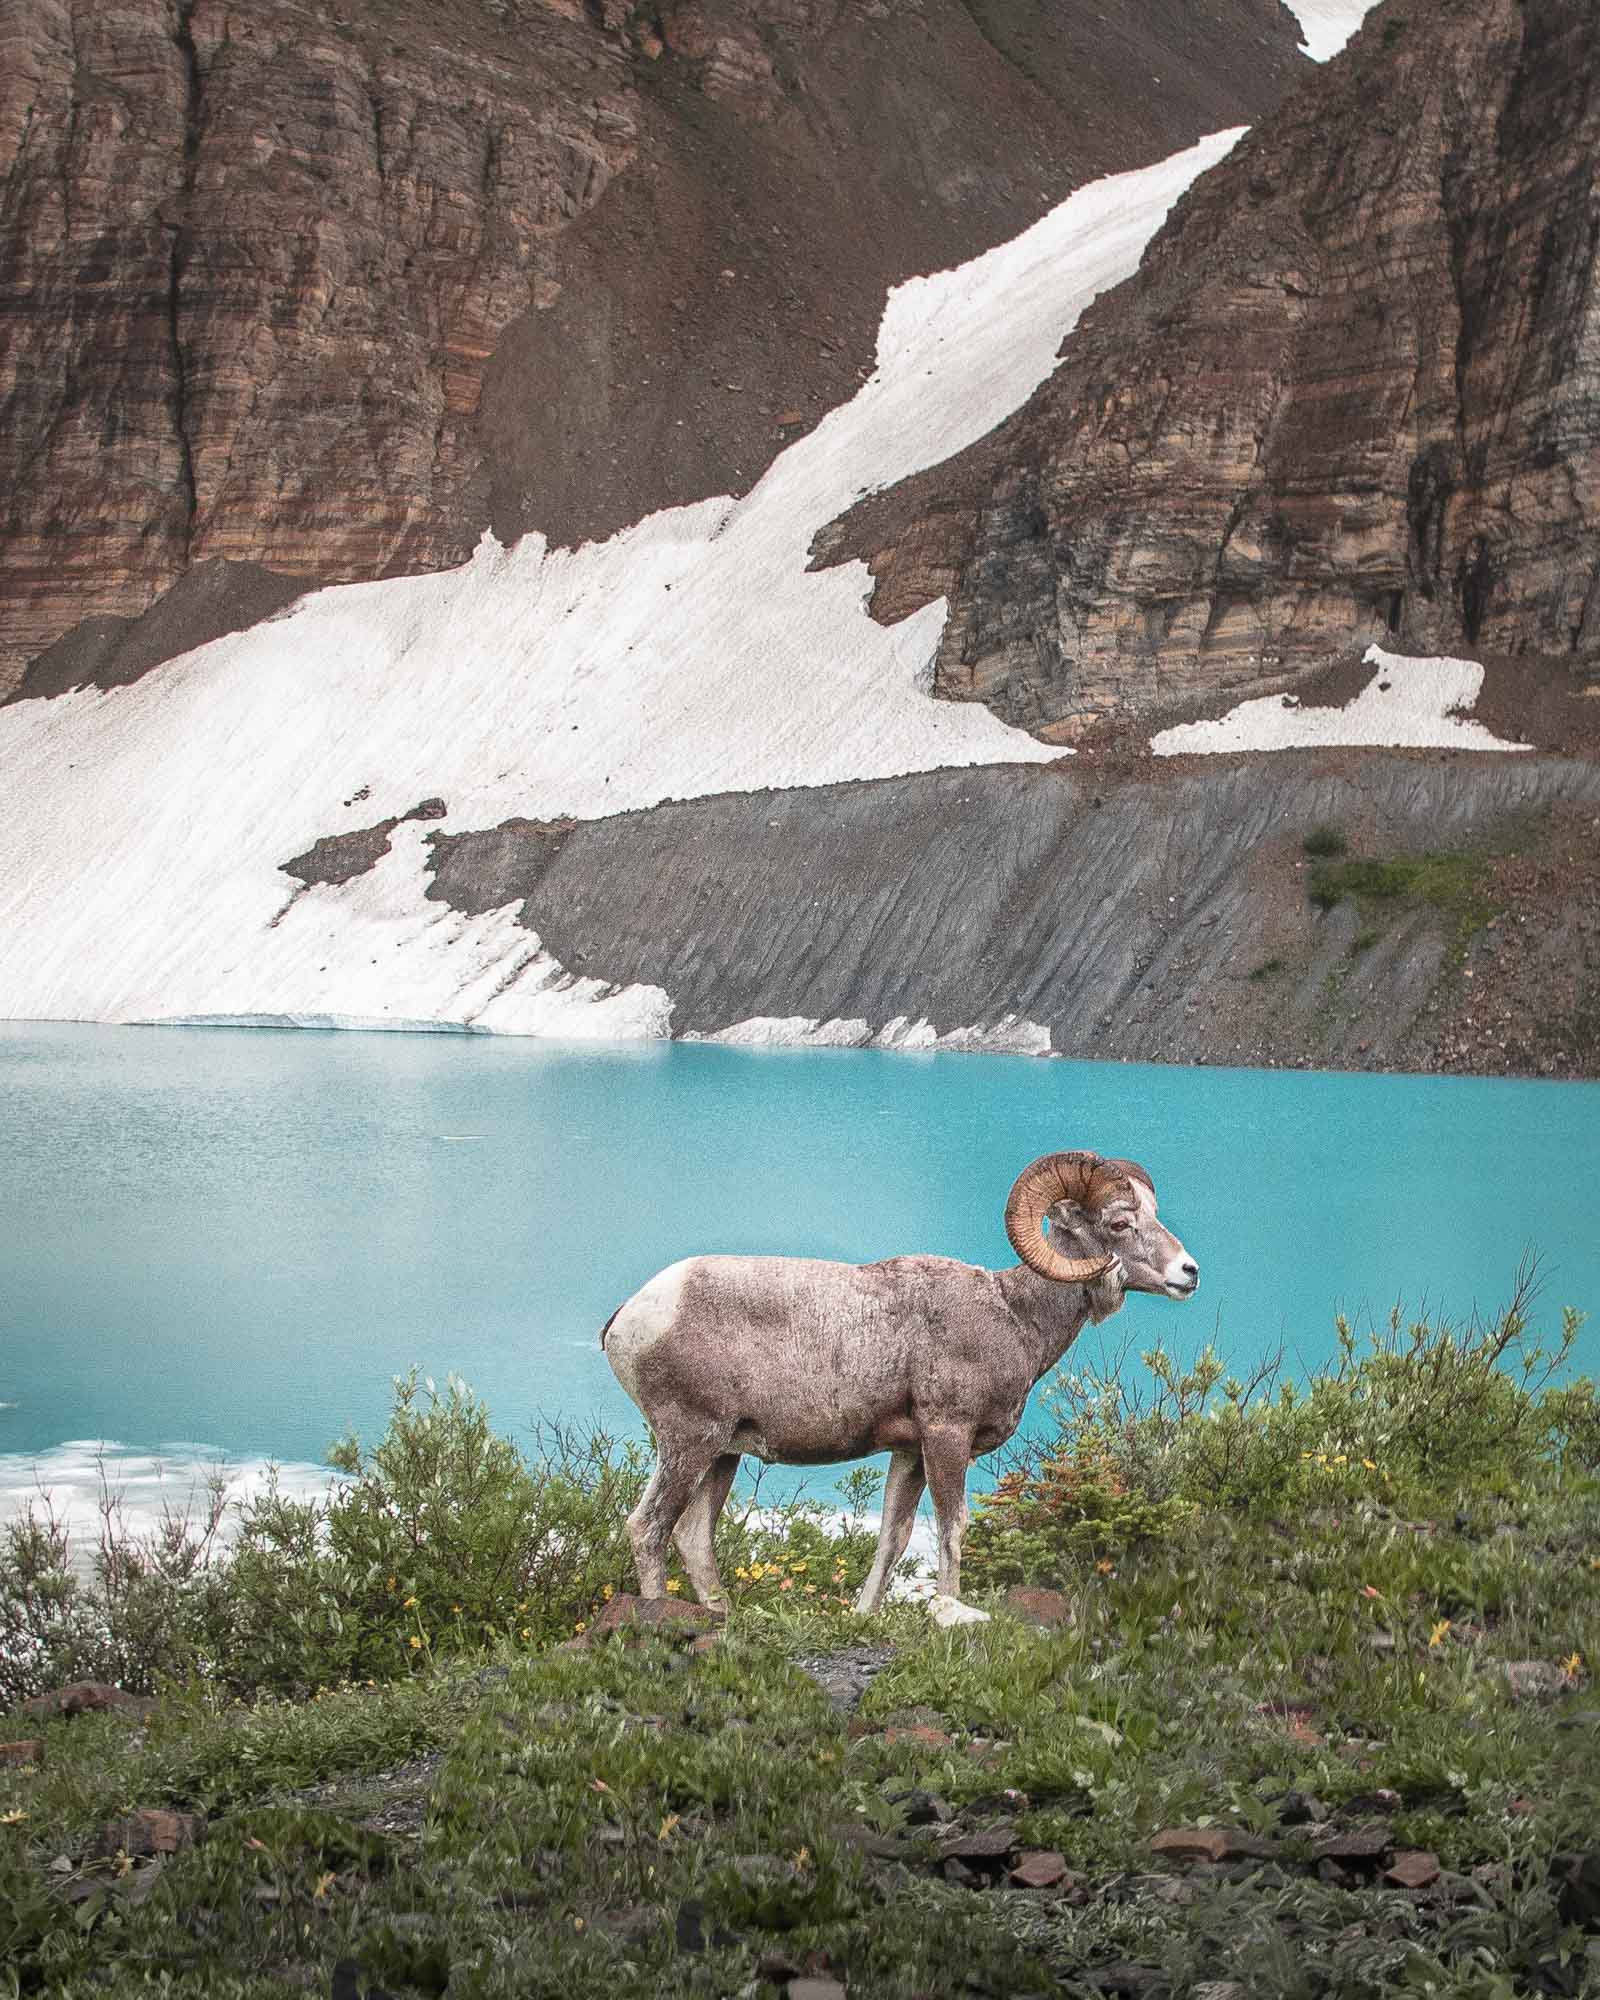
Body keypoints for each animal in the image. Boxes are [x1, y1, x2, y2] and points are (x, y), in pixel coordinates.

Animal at [608, 1152, 1192, 1616]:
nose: (1189, 1273)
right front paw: (950, 1610)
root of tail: (629, 1317)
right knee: (648, 1528)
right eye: (1119, 1223)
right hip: (690, 1441)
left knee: (692, 1537)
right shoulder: (947, 1436)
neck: (1013, 1316)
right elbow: (953, 1528)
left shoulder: (909, 1452)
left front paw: (863, 1615)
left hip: (723, 1454)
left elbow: (894, 1537)